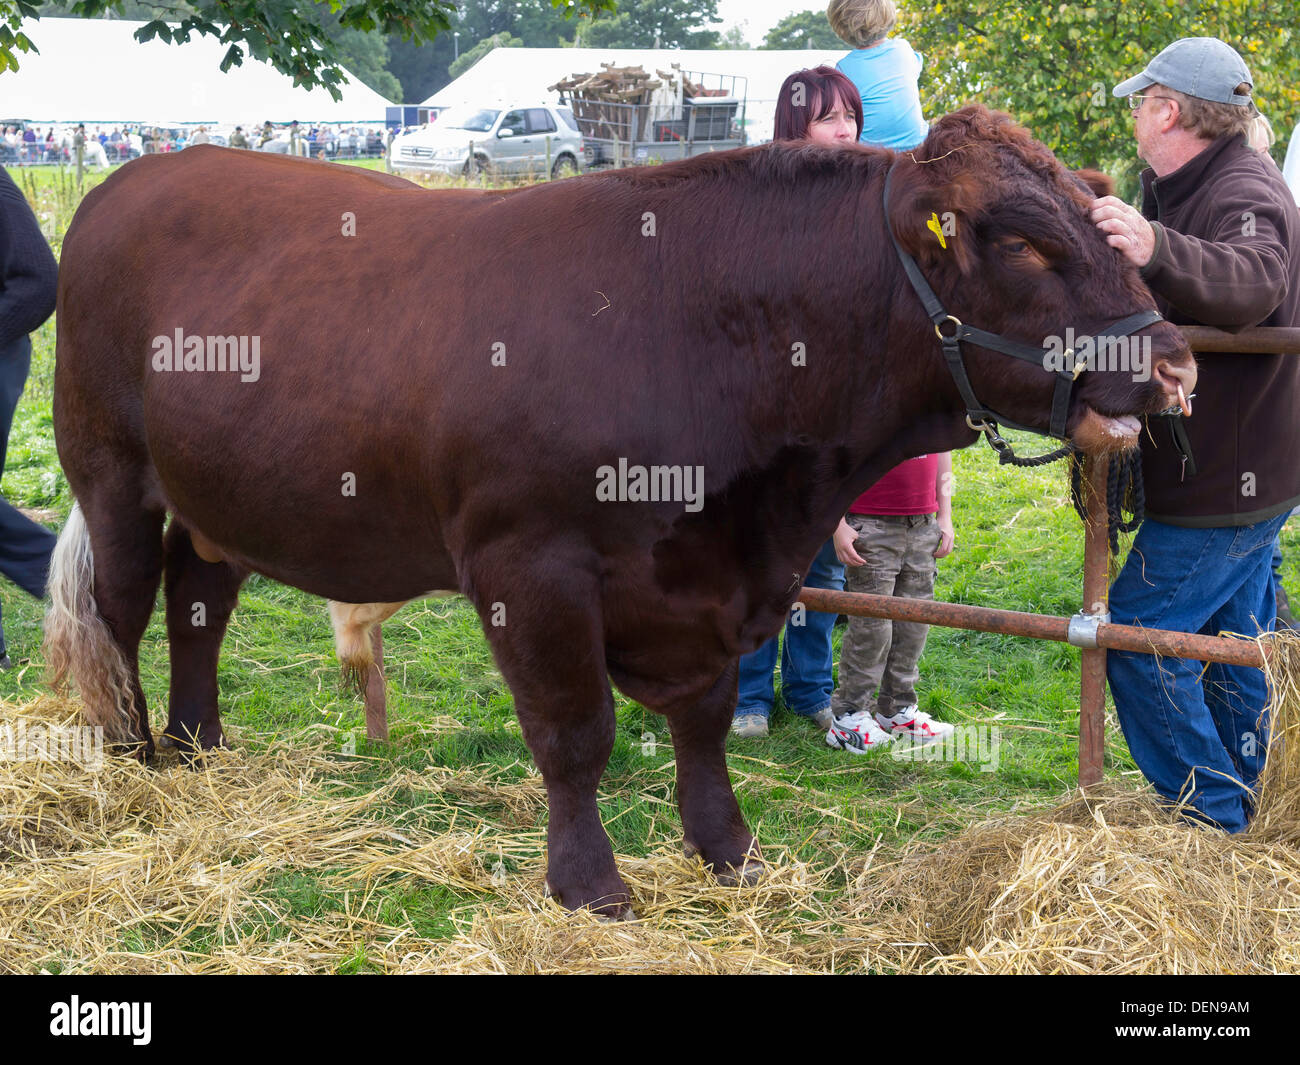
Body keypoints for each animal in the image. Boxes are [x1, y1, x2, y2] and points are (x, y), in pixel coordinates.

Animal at [45, 108, 1190, 915]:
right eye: (1021, 243)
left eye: (1101, 219)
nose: (1174, 362)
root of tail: (143, 173)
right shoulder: (528, 566)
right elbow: (575, 731)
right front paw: (589, 883)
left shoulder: (713, 581)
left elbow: (703, 720)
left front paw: (729, 853)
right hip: (108, 468)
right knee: (126, 607)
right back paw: (132, 758)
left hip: (221, 494)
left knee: (199, 603)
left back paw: (199, 749)